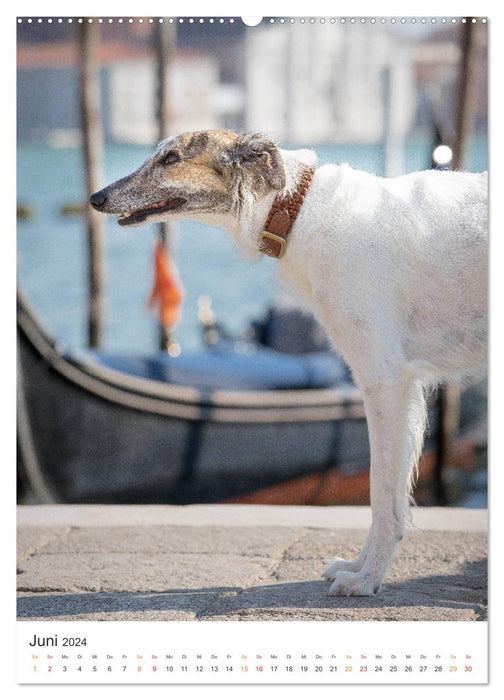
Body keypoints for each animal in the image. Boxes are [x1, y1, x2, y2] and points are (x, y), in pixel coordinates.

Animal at [88, 131, 486, 596]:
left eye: (171, 158)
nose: (96, 197)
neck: (299, 208)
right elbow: (389, 496)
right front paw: (358, 566)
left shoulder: (384, 379)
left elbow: (381, 492)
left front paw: (366, 579)